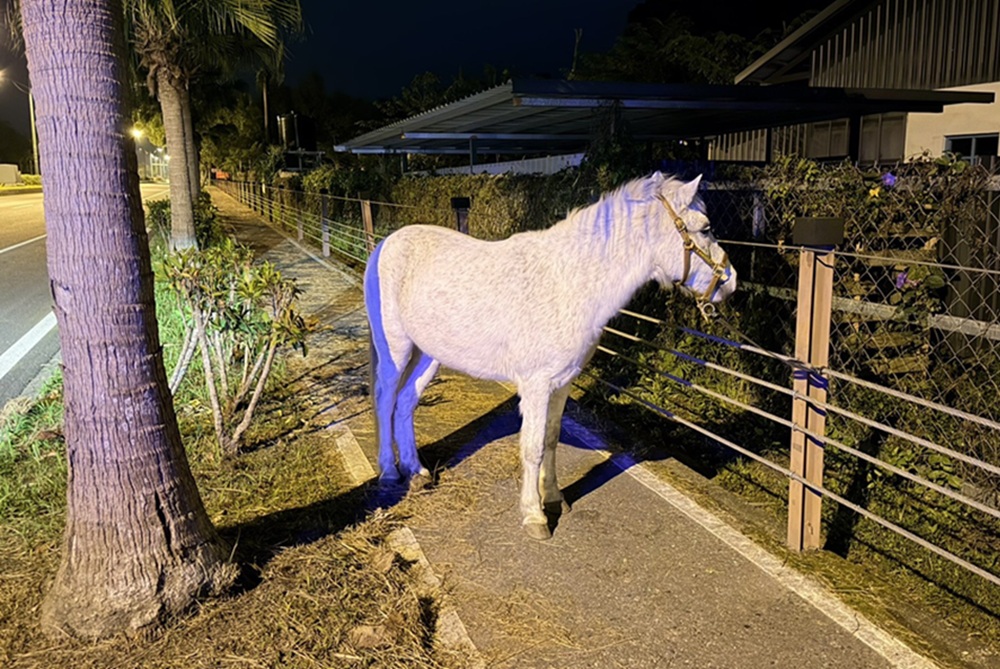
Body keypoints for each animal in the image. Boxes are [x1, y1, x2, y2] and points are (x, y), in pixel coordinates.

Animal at [364, 172, 736, 540]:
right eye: (705, 228)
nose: (731, 282)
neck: (568, 283)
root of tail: (386, 243)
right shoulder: (536, 385)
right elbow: (532, 447)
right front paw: (534, 516)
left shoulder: (562, 383)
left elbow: (551, 439)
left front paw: (555, 498)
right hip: (396, 348)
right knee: (385, 398)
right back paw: (389, 473)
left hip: (428, 354)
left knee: (406, 401)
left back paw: (417, 470)